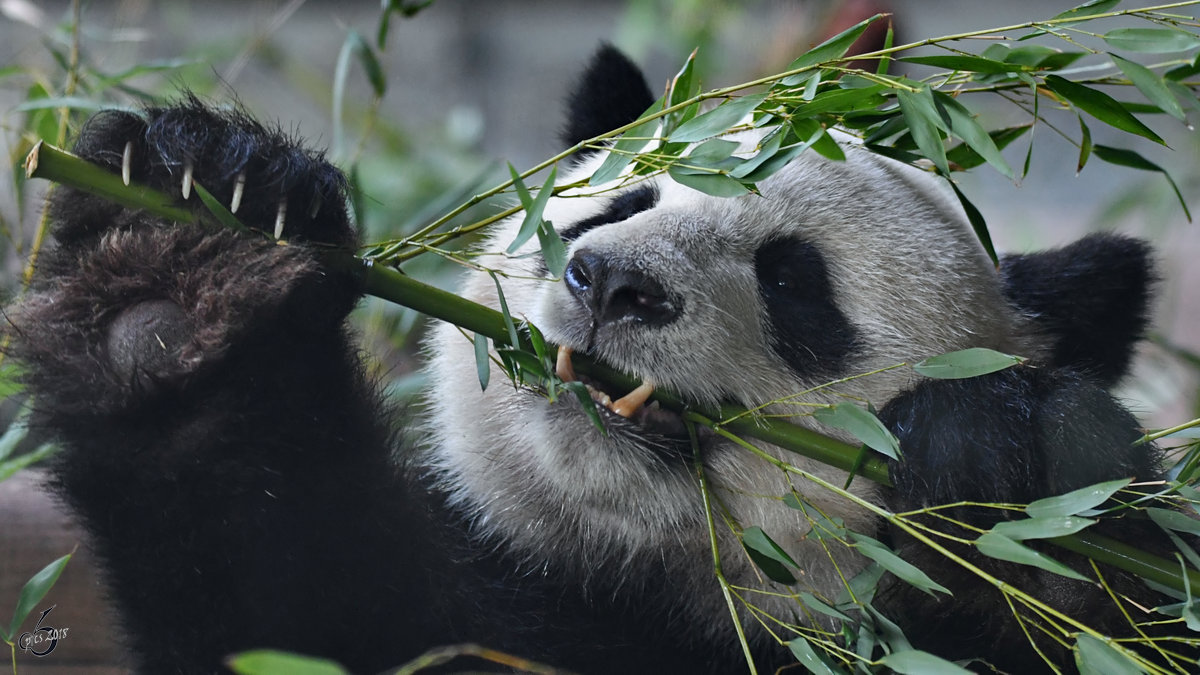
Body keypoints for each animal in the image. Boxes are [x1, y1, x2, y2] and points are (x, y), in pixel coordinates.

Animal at [9, 47, 1190, 672]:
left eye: (795, 281)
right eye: (621, 203)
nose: (615, 283)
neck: (655, 595)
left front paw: (1011, 489)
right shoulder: (475, 600)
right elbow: (284, 591)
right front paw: (186, 258)